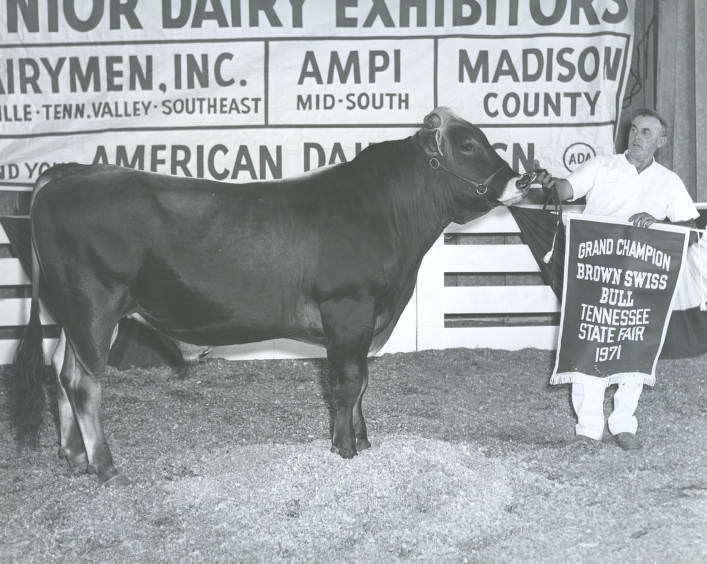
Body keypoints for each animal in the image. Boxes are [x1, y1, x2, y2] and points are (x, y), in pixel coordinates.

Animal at [11, 106, 532, 480]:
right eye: (467, 144)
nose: (521, 180)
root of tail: (69, 171)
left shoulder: (363, 321)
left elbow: (362, 382)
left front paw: (364, 442)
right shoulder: (349, 308)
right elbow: (347, 383)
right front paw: (345, 449)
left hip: (73, 313)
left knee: (62, 372)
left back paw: (73, 457)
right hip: (95, 305)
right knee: (84, 383)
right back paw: (104, 467)